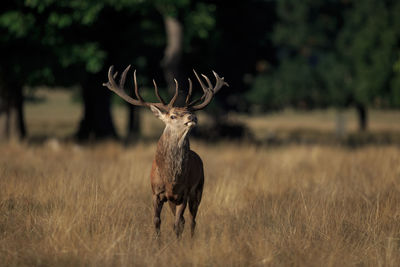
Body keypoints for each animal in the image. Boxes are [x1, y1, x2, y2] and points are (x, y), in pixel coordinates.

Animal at [103, 65, 228, 239]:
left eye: (189, 113)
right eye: (173, 116)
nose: (192, 117)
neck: (171, 179)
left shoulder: (184, 193)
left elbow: (177, 224)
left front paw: (177, 243)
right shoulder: (156, 193)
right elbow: (157, 221)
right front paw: (158, 242)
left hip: (199, 189)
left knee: (191, 220)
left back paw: (191, 239)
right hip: (173, 200)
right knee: (184, 220)